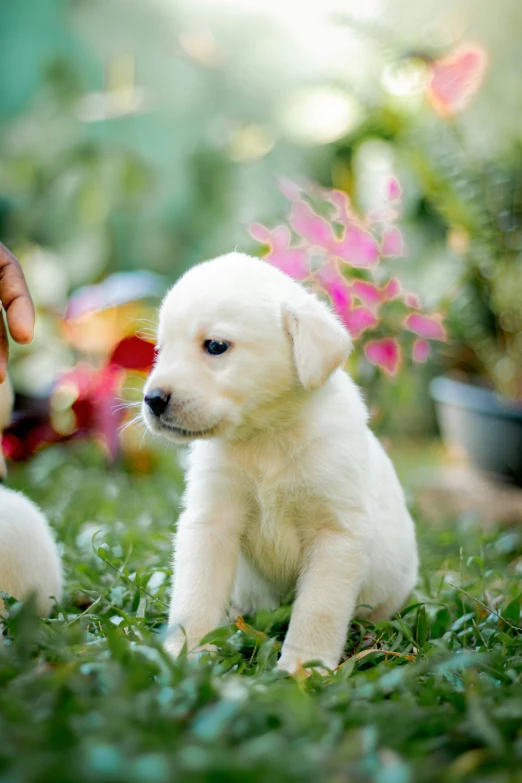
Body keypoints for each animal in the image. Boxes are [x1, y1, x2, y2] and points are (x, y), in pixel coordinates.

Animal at [143, 253, 418, 672]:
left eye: (215, 345)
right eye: (160, 350)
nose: (153, 399)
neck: (266, 435)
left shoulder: (336, 533)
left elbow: (318, 610)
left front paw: (304, 668)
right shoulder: (211, 520)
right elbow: (195, 595)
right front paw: (186, 653)